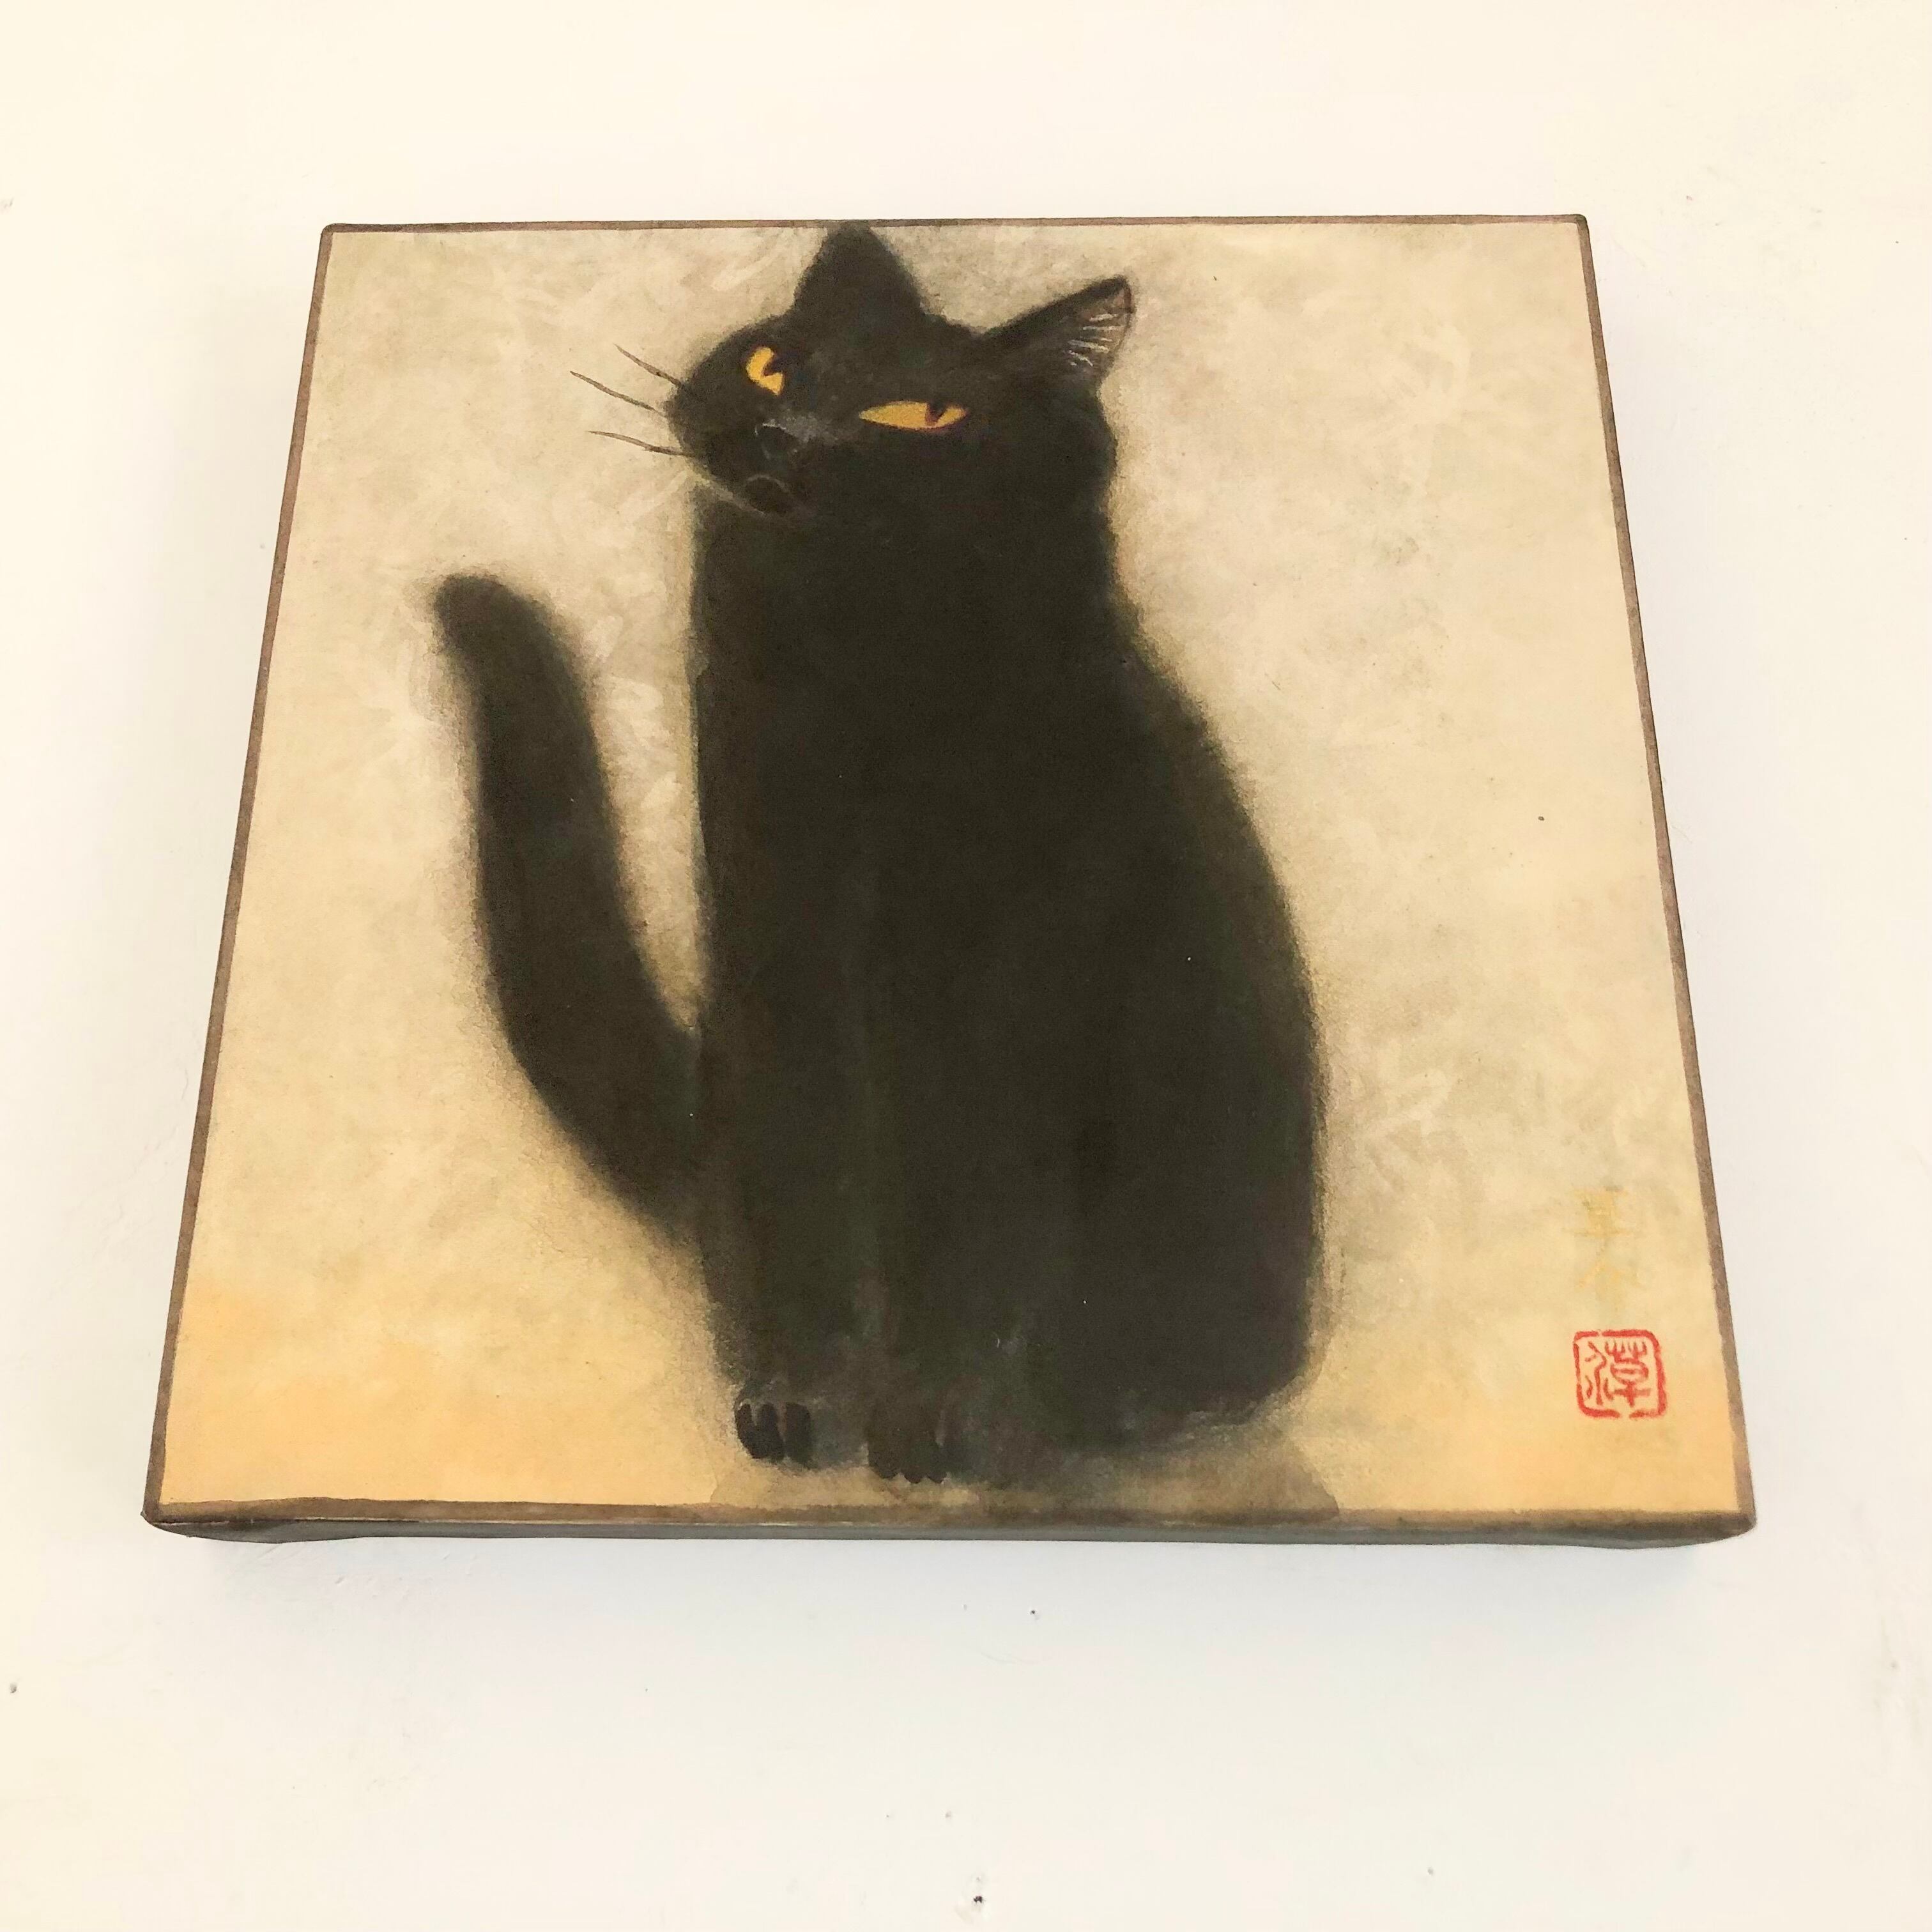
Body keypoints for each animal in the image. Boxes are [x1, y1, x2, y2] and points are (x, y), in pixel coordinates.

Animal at [435, 225, 1322, 1484]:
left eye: (920, 413)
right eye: (774, 366)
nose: (787, 432)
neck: (849, 675)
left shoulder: (988, 1004)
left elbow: (957, 1222)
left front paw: (924, 1423)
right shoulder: (768, 932)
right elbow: (799, 1175)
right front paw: (793, 1403)